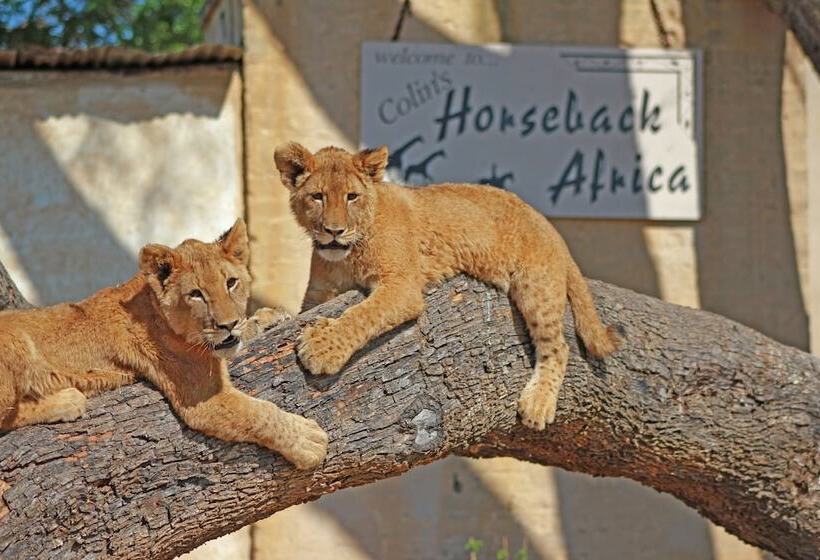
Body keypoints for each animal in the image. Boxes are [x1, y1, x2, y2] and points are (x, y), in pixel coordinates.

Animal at [0, 219, 327, 469]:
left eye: (231, 283)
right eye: (196, 294)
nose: (228, 324)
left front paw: (268, 318)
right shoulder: (204, 400)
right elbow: (260, 414)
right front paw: (308, 442)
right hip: (15, 340)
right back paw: (67, 401)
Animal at [274, 143, 620, 429]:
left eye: (351, 197)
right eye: (317, 197)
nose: (334, 231)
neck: (343, 259)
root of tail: (549, 226)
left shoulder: (403, 286)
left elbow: (363, 315)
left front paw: (322, 349)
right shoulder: (319, 295)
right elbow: (295, 314)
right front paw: (269, 318)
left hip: (536, 286)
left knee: (558, 347)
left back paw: (538, 404)